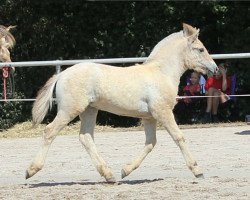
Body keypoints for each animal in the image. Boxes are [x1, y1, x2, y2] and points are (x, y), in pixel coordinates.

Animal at [24, 23, 217, 183]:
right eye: (200, 49)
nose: (214, 69)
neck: (161, 72)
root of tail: (62, 74)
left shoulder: (149, 117)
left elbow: (150, 143)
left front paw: (125, 171)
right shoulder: (163, 112)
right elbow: (179, 137)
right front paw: (198, 171)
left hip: (89, 110)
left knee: (86, 137)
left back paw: (109, 175)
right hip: (69, 110)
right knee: (50, 131)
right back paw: (31, 170)